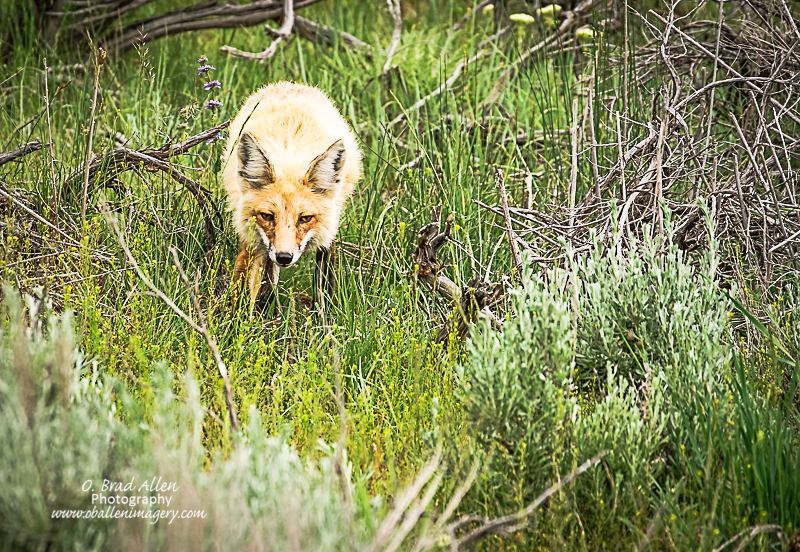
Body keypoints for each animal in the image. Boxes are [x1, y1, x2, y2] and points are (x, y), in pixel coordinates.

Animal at [220, 82, 360, 310]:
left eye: (305, 218)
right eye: (267, 216)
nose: (284, 257)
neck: (289, 156)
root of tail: (291, 84)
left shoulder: (327, 233)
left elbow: (323, 287)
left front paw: (323, 317)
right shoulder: (252, 240)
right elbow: (243, 289)